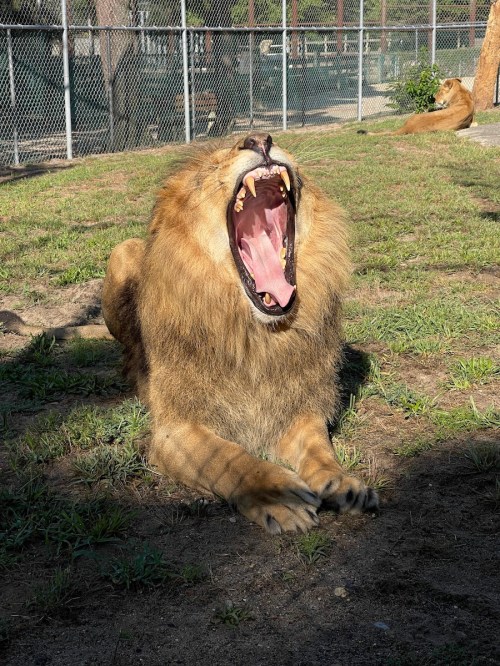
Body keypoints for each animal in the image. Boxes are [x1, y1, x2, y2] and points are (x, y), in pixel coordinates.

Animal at [100, 133, 378, 533]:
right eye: (212, 167)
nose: (260, 139)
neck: (256, 334)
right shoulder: (174, 431)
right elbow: (230, 457)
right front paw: (277, 494)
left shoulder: (300, 408)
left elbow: (320, 447)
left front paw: (342, 482)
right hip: (124, 250)